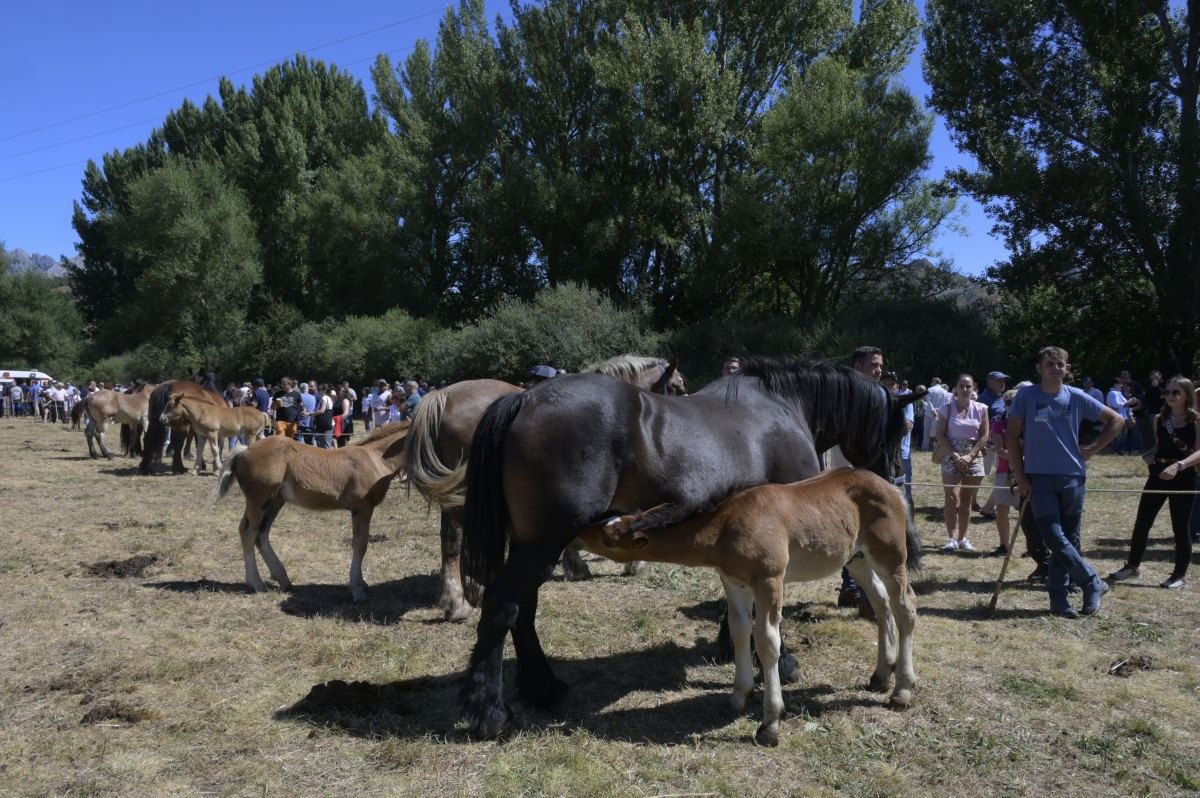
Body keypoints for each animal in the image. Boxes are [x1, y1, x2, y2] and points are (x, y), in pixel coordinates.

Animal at [218, 422, 415, 597]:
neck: (376, 458)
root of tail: (245, 450)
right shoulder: (362, 508)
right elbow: (360, 545)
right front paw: (357, 589)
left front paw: (361, 584)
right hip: (258, 500)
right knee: (248, 532)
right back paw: (257, 584)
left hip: (274, 501)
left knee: (261, 533)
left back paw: (283, 579)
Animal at [573, 468, 916, 748]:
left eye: (608, 538)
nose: (576, 532)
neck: (727, 524)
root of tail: (891, 486)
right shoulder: (733, 582)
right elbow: (739, 631)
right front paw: (739, 697)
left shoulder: (769, 581)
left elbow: (766, 642)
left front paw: (769, 724)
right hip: (856, 559)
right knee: (881, 602)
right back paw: (881, 675)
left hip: (890, 557)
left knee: (905, 607)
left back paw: (901, 690)